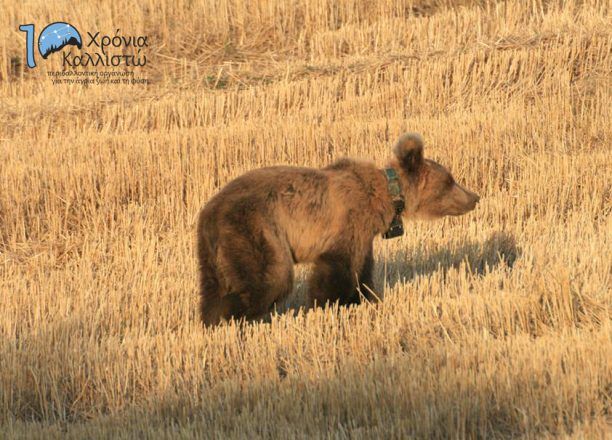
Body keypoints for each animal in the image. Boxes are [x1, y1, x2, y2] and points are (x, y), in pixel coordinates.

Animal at [196, 134, 478, 326]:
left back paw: (212, 319)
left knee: (213, 287)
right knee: (271, 276)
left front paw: (366, 298)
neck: (385, 197)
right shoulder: (346, 221)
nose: (474, 197)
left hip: (216, 250)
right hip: (258, 227)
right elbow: (337, 269)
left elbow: (362, 269)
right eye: (450, 180)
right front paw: (328, 304)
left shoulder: (365, 234)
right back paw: (235, 316)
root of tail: (208, 212)